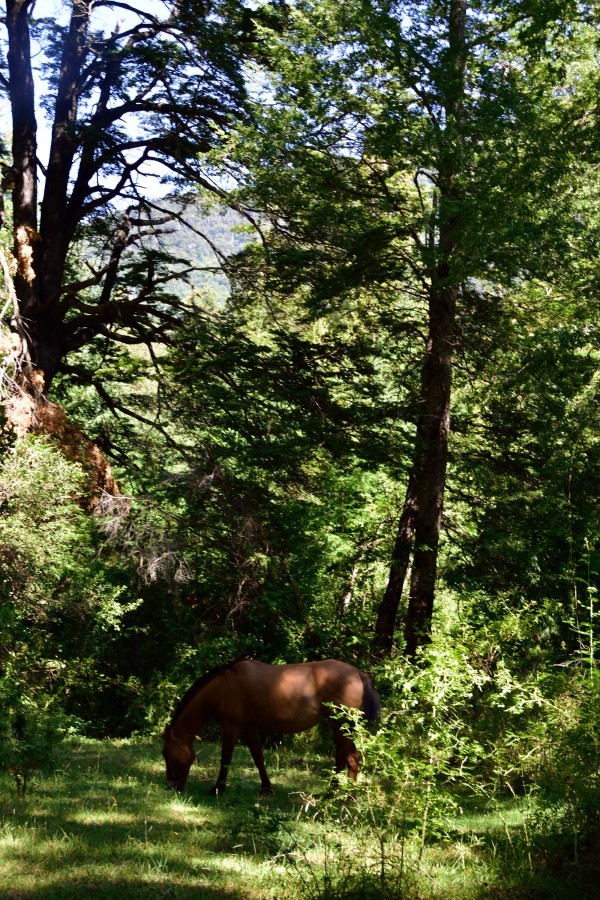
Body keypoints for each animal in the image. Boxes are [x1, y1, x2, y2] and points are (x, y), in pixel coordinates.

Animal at [163, 660, 380, 796]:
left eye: (166, 753)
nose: (171, 786)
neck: (223, 687)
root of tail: (358, 674)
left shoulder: (231, 727)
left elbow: (226, 759)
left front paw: (218, 788)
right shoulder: (249, 727)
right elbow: (258, 757)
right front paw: (266, 789)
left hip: (342, 727)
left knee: (349, 759)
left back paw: (342, 796)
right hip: (340, 728)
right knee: (345, 759)